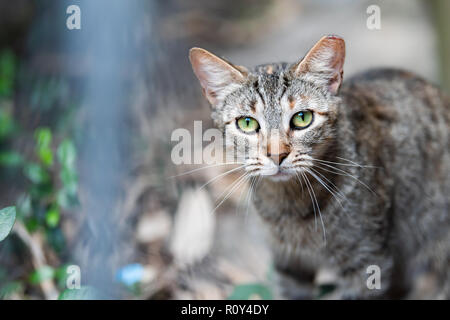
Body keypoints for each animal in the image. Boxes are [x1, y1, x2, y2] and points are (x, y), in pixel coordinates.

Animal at [188, 35, 448, 300]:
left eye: (302, 118)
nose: (277, 154)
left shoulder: (366, 263)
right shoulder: (289, 266)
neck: (290, 207)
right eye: (247, 123)